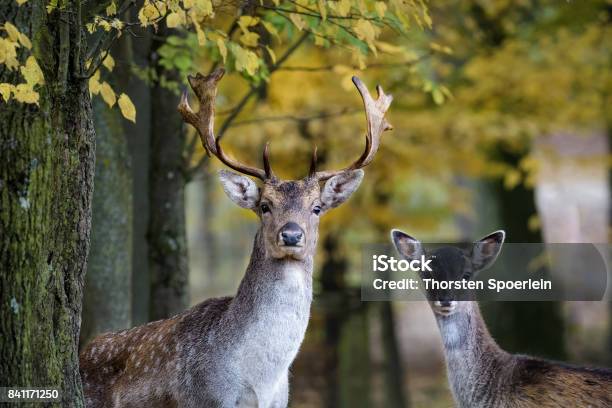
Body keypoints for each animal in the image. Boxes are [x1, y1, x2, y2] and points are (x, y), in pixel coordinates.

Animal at [79, 68, 394, 406]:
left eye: (317, 207)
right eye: (264, 205)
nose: (291, 235)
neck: (260, 382)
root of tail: (82, 352)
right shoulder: (203, 399)